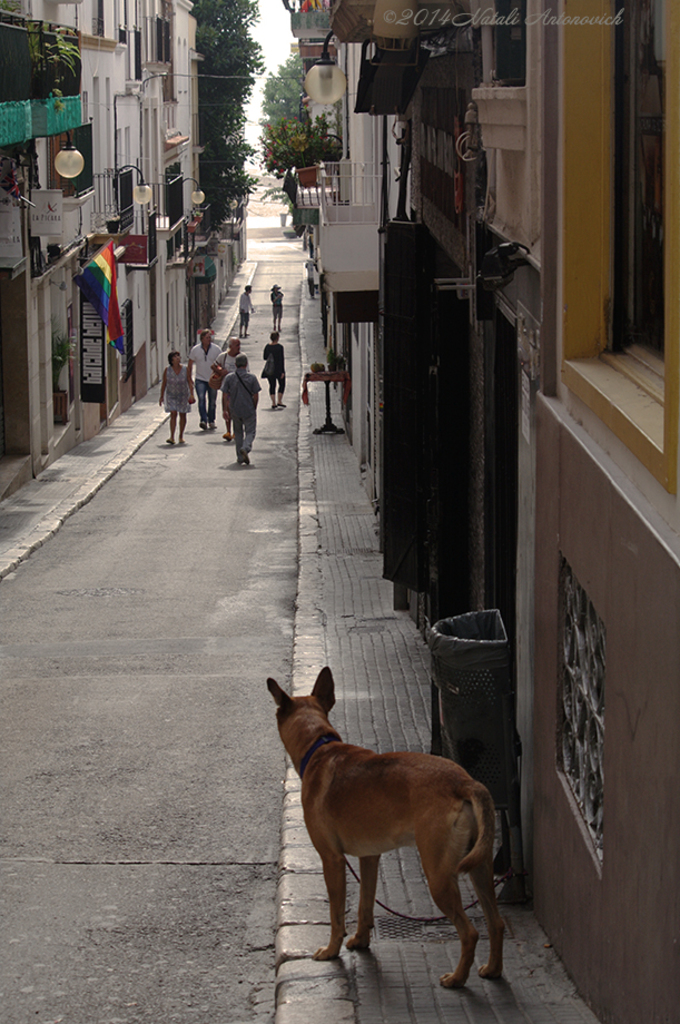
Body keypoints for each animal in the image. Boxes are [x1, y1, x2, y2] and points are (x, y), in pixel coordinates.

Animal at [266, 667, 503, 987]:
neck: (320, 747)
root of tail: (464, 781)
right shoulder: (370, 858)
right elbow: (365, 904)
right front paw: (360, 940)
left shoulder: (331, 860)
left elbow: (336, 914)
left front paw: (332, 949)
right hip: (480, 868)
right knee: (496, 922)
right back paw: (493, 969)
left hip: (439, 876)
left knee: (471, 932)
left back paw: (456, 978)